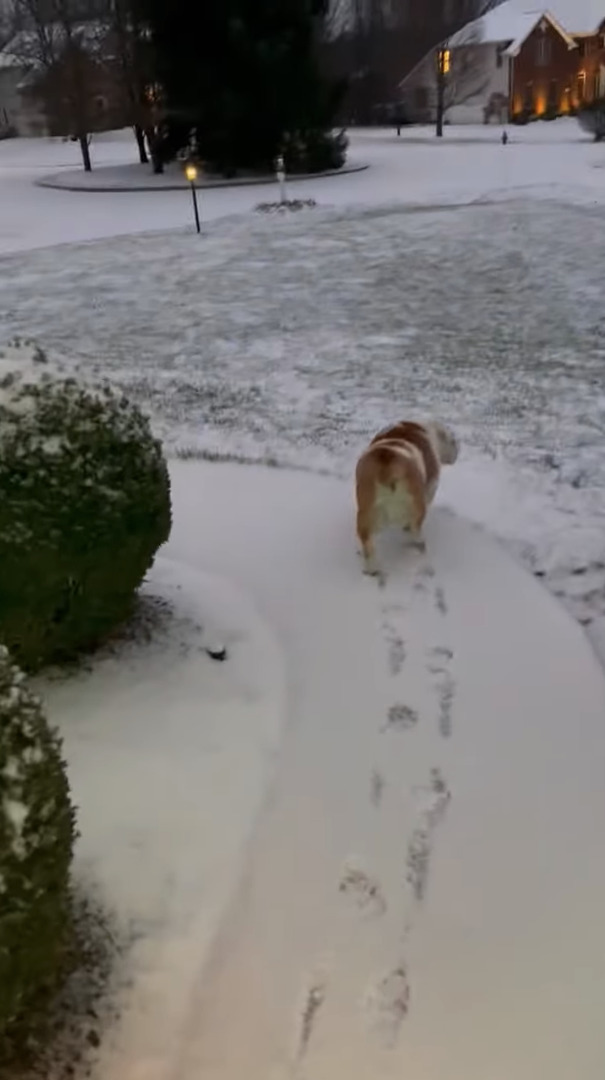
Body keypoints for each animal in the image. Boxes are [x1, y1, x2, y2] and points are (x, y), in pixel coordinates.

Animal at [354, 419, 458, 578]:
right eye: (453, 441)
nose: (458, 451)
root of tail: (387, 468)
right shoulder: (431, 486)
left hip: (365, 513)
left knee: (367, 543)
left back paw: (371, 569)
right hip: (417, 506)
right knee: (415, 529)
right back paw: (418, 543)